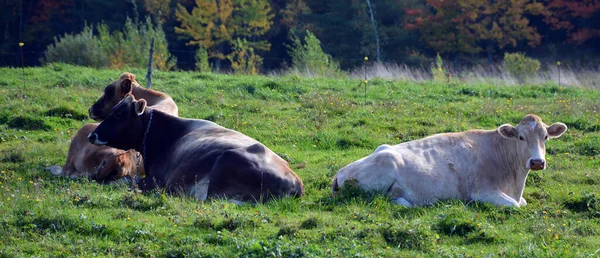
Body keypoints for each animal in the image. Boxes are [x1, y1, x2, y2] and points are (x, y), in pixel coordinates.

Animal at [88, 93, 304, 203]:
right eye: (112, 110)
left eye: (119, 114)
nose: (92, 135)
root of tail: (296, 182)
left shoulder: (157, 180)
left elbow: (124, 181)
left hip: (225, 163)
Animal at [332, 115, 568, 208]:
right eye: (520, 137)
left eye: (545, 137)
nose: (537, 162)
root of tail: (340, 172)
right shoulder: (483, 191)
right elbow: (515, 205)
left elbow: (522, 203)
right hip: (386, 164)